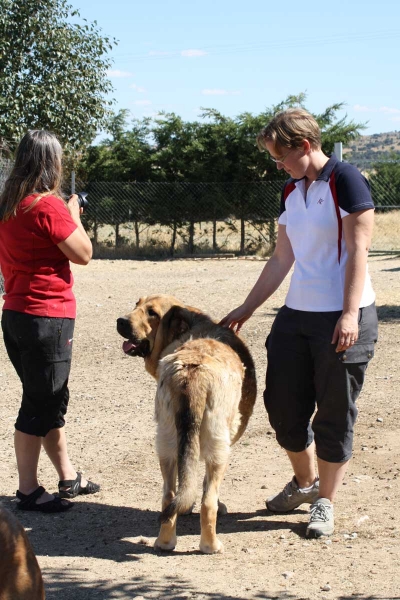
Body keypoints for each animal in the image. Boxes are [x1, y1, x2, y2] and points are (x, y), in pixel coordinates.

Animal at [117, 294, 258, 552]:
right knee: (208, 502)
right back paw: (211, 545)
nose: (121, 321)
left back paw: (164, 542)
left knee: (168, 497)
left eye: (151, 312)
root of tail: (191, 376)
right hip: (219, 451)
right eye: (137, 305)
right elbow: (204, 488)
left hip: (166, 445)